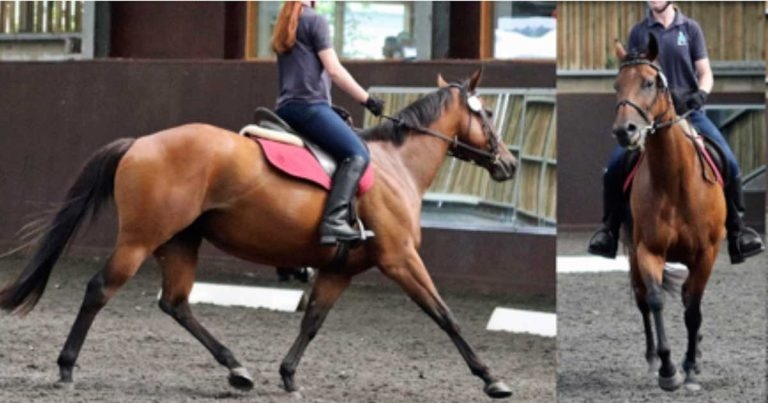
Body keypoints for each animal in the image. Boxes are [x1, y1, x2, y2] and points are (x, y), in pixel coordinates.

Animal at [0, 69, 517, 399]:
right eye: (488, 113)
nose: (509, 163)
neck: (396, 165)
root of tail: (140, 143)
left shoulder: (339, 270)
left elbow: (313, 322)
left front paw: (288, 376)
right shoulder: (400, 258)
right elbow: (445, 315)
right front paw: (491, 378)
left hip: (180, 241)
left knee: (176, 303)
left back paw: (237, 369)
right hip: (140, 240)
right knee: (99, 289)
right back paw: (67, 365)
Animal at [612, 37, 726, 392]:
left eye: (649, 83)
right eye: (616, 85)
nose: (625, 131)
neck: (674, 180)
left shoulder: (706, 253)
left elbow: (692, 307)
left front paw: (690, 368)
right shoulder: (648, 251)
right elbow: (656, 299)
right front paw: (668, 369)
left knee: (691, 300)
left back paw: (697, 355)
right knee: (642, 298)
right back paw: (652, 360)